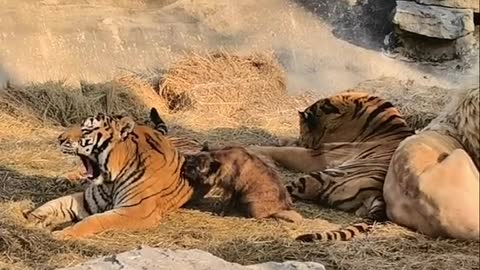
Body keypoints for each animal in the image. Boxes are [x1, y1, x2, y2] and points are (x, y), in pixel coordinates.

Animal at [22, 113, 195, 239]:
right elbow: (55, 203)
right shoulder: (88, 201)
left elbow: (94, 220)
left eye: (86, 130)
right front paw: (32, 217)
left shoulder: (137, 211)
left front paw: (64, 233)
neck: (111, 179)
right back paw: (64, 179)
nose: (60, 138)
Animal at [246, 92, 414, 242]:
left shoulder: (319, 155)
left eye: (303, 130)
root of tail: (378, 194)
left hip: (320, 177)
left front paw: (254, 148)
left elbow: (284, 151)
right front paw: (282, 140)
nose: (304, 140)